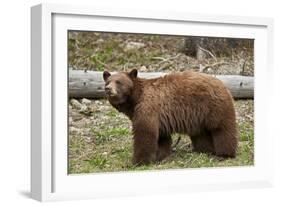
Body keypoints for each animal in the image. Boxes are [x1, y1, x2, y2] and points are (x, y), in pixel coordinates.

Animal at [102, 70, 236, 165]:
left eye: (118, 82)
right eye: (107, 82)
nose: (108, 89)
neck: (135, 100)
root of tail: (222, 84)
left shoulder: (148, 108)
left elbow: (145, 133)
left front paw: (137, 161)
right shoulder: (159, 117)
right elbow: (162, 137)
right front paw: (161, 156)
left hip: (213, 107)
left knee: (222, 129)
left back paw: (225, 154)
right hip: (198, 117)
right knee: (201, 134)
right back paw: (205, 150)